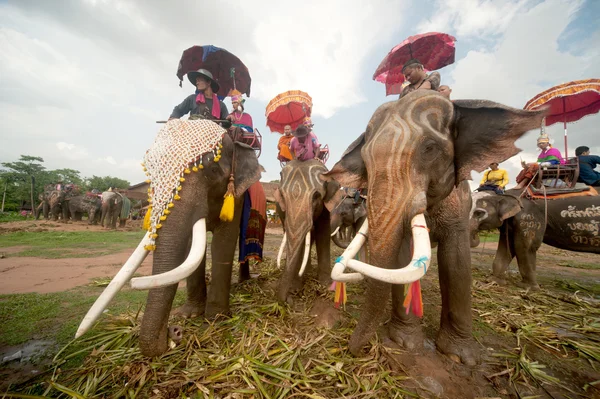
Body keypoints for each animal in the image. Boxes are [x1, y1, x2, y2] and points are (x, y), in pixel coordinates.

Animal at [274, 159, 342, 304]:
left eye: (316, 196)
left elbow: (323, 233)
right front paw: (296, 287)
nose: (288, 299)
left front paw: (325, 285)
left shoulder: (325, 208)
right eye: (283, 196)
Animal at [322, 90, 548, 366]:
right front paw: (406, 342)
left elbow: (456, 262)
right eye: (365, 160)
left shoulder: (459, 207)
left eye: (429, 149)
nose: (351, 350)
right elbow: (403, 256)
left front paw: (460, 356)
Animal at [468, 189, 600, 290]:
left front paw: (528, 287)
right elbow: (507, 247)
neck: (504, 194)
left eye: (479, 213)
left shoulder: (529, 219)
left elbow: (524, 246)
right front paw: (494, 281)